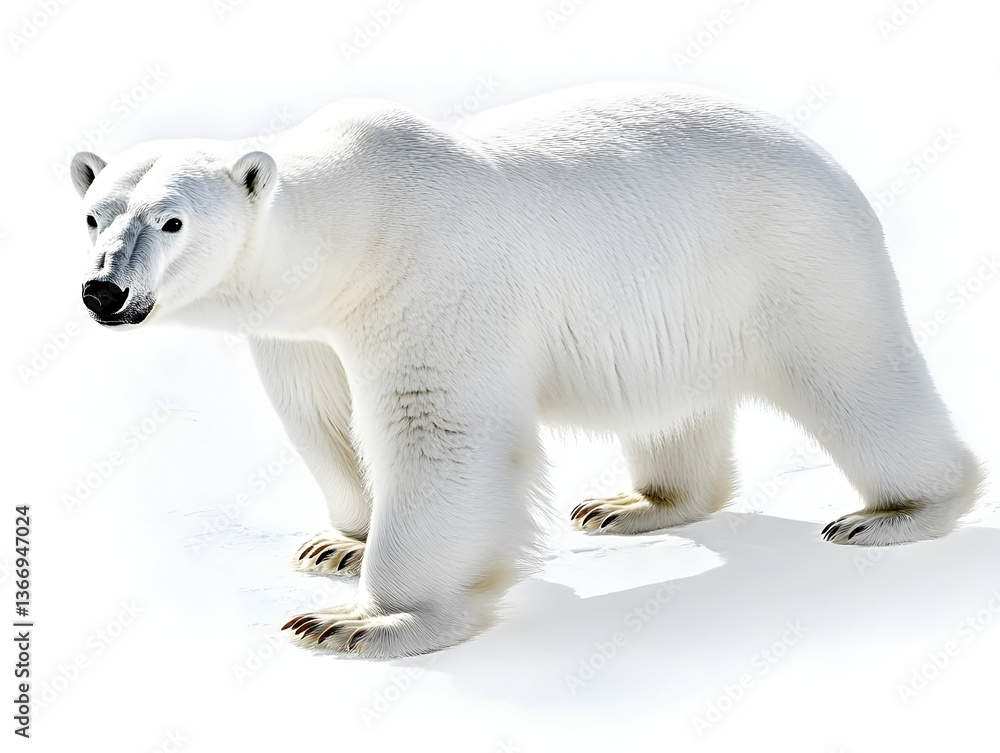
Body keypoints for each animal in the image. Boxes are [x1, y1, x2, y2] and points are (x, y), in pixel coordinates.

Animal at [70, 82, 983, 658]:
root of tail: (824, 153)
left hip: (792, 262)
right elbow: (320, 418)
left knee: (856, 375)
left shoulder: (427, 276)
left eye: (173, 221)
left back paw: (896, 510)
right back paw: (634, 503)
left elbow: (438, 429)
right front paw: (340, 543)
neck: (351, 229)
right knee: (676, 410)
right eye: (92, 215)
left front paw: (366, 621)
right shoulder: (304, 333)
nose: (103, 290)